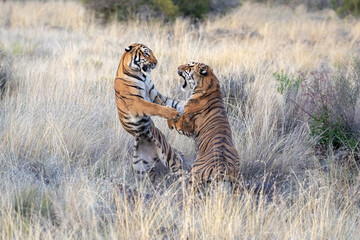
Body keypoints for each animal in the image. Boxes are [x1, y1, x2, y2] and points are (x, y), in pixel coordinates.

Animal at [114, 43, 187, 182]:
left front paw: (172, 117)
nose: (156, 63)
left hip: (169, 156)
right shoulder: (137, 102)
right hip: (141, 169)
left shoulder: (153, 94)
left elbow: (163, 104)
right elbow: (154, 107)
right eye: (146, 53)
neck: (140, 75)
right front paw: (173, 114)